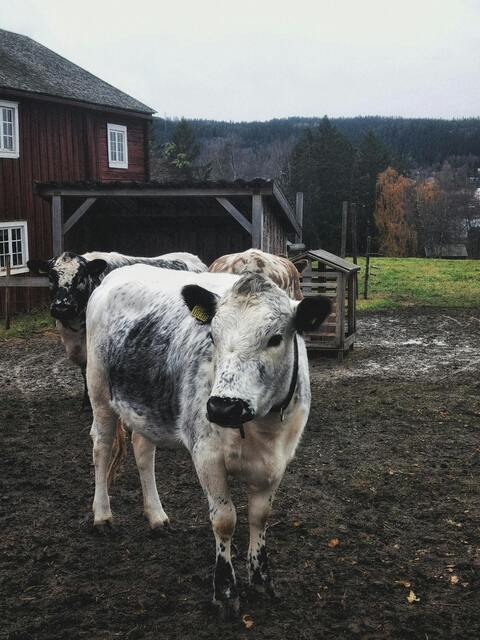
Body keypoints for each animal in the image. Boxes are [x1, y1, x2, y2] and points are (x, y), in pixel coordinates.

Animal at [85, 264, 330, 615]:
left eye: (275, 338)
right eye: (212, 337)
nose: (224, 406)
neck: (261, 427)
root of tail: (118, 272)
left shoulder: (277, 461)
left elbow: (260, 516)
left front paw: (261, 581)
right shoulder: (206, 455)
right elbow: (225, 520)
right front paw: (226, 591)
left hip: (145, 408)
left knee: (143, 451)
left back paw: (156, 516)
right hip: (99, 391)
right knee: (102, 447)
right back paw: (102, 515)